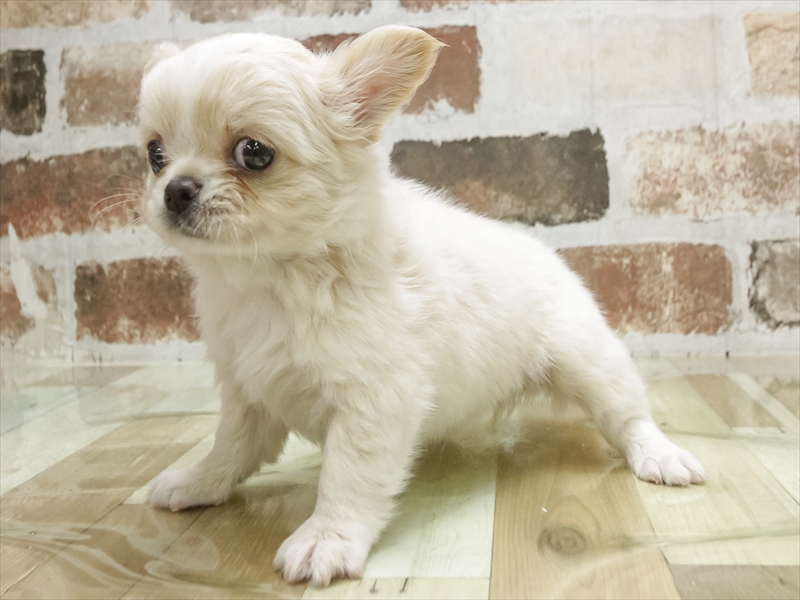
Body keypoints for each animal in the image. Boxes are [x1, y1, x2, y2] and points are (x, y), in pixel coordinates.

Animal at [138, 26, 704, 587]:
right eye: (155, 155)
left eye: (254, 153)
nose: (176, 189)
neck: (269, 279)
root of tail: (547, 252)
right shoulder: (248, 392)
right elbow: (230, 446)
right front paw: (199, 482)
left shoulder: (374, 400)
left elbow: (347, 476)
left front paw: (327, 538)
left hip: (589, 361)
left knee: (628, 416)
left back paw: (661, 456)